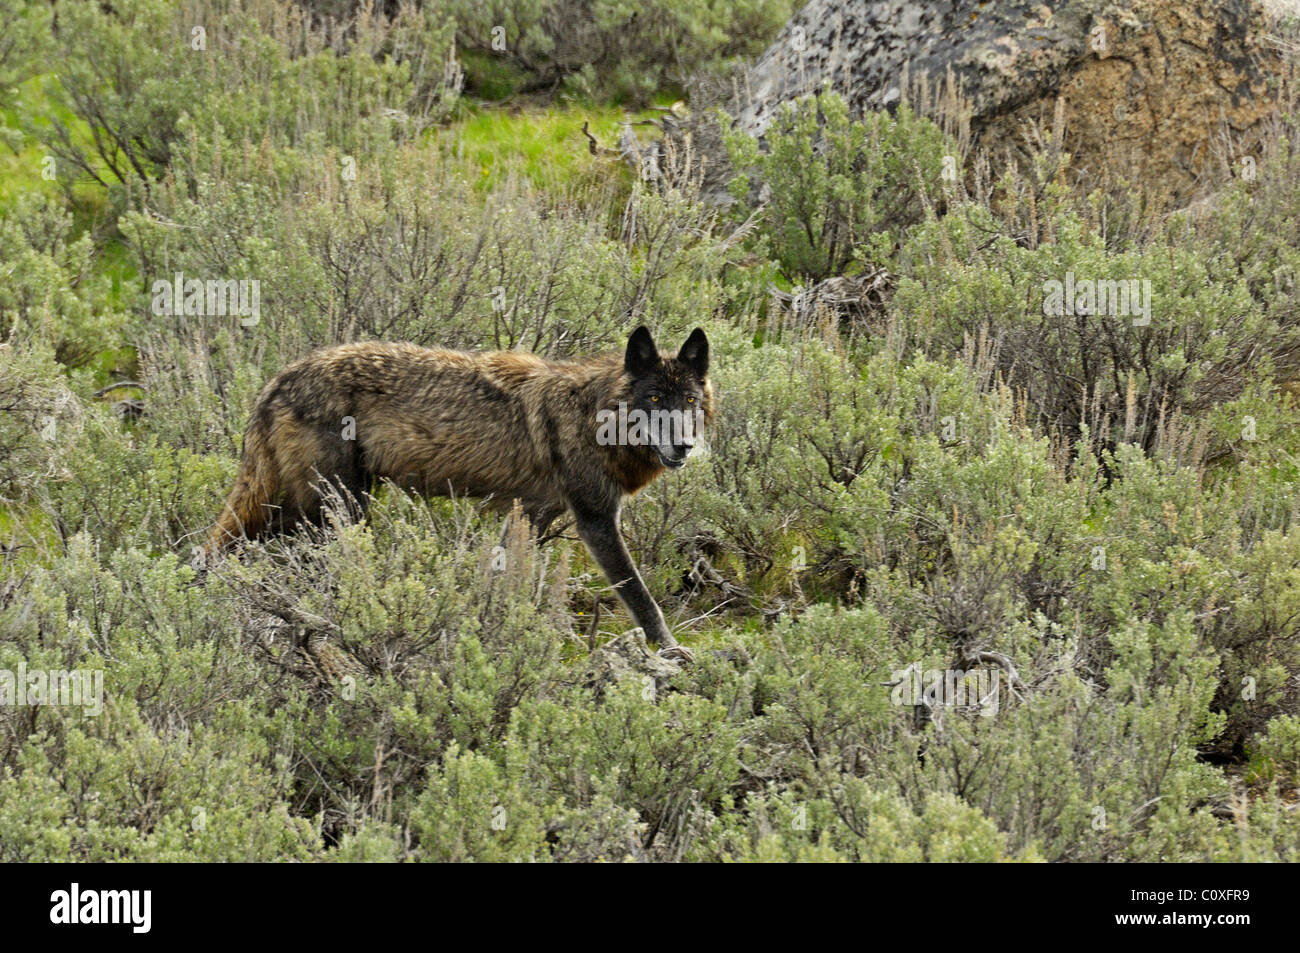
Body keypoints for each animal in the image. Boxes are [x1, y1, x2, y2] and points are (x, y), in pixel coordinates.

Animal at [202, 323, 717, 657]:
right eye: (655, 399)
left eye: (689, 401)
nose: (684, 445)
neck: (593, 416)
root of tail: (276, 381)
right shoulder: (596, 520)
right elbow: (641, 596)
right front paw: (670, 650)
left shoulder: (531, 514)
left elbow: (505, 577)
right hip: (330, 512)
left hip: (297, 512)